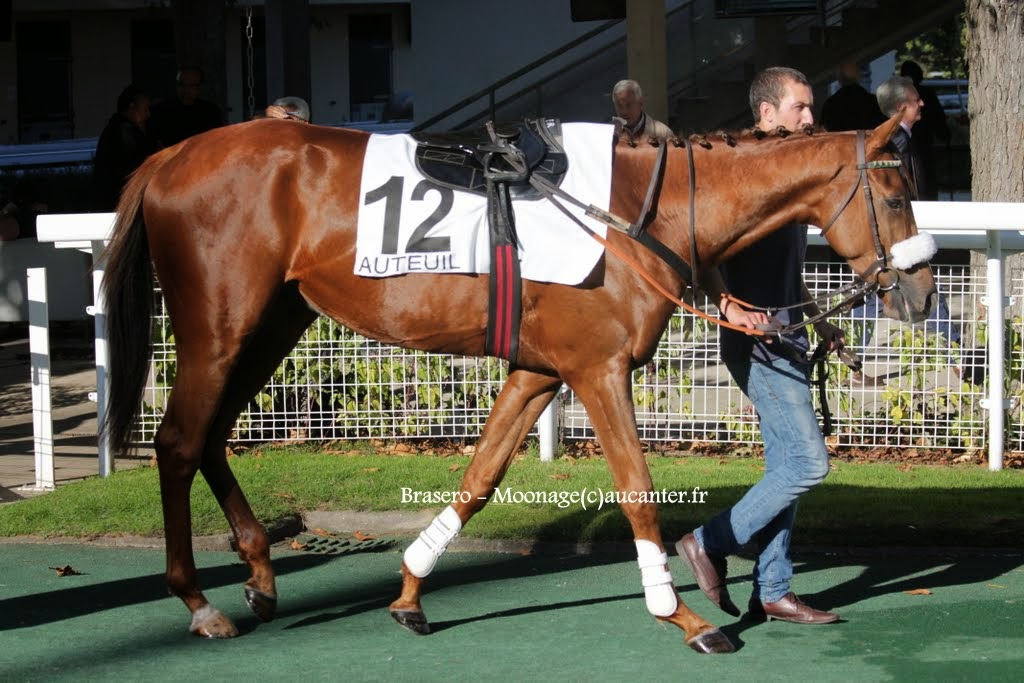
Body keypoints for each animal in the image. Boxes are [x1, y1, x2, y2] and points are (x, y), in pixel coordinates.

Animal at [103, 113, 937, 655]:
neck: (634, 211)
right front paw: (681, 614)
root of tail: (171, 154)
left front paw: (410, 592)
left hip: (274, 321)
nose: (922, 293)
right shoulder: (599, 371)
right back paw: (199, 601)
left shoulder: (539, 370)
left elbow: (480, 476)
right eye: (896, 197)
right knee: (178, 442)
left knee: (211, 437)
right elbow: (638, 489)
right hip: (219, 327)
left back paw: (259, 573)